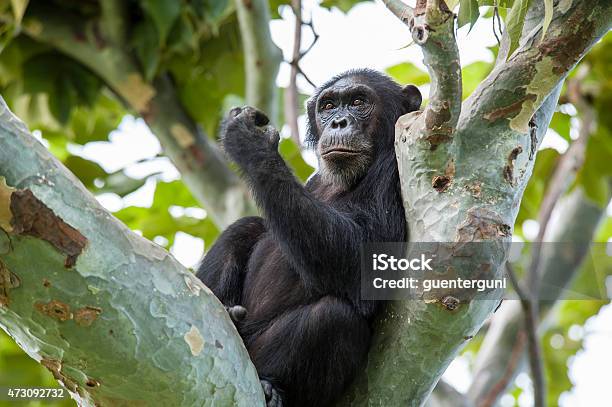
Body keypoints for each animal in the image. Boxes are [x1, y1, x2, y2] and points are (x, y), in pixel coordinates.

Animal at [196, 68, 420, 406]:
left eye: (358, 102)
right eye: (328, 106)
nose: (339, 122)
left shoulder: (396, 171)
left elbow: (363, 260)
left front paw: (251, 142)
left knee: (332, 318)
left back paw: (269, 387)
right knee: (246, 227)